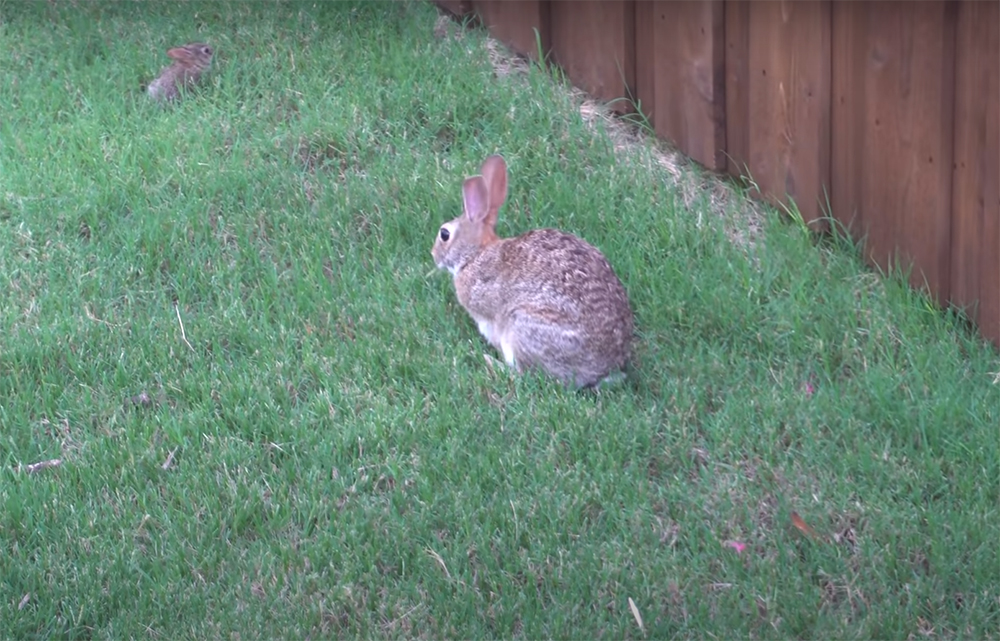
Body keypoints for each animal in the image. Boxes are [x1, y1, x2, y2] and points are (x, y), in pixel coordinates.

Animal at [430, 154, 632, 390]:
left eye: (444, 234)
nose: (434, 254)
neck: (475, 254)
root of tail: (601, 371)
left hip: (521, 329)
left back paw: (490, 362)